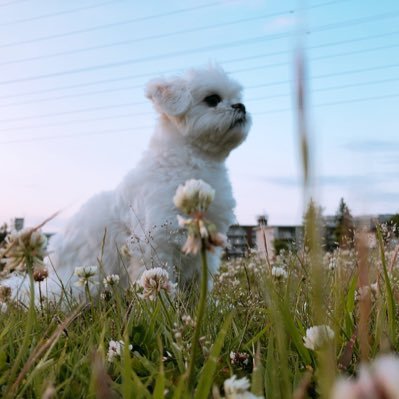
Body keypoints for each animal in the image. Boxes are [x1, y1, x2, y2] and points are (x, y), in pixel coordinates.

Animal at [3, 64, 252, 298]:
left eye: (237, 99)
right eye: (212, 99)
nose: (241, 106)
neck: (195, 162)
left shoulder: (205, 244)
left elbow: (199, 286)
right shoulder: (156, 242)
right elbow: (161, 281)